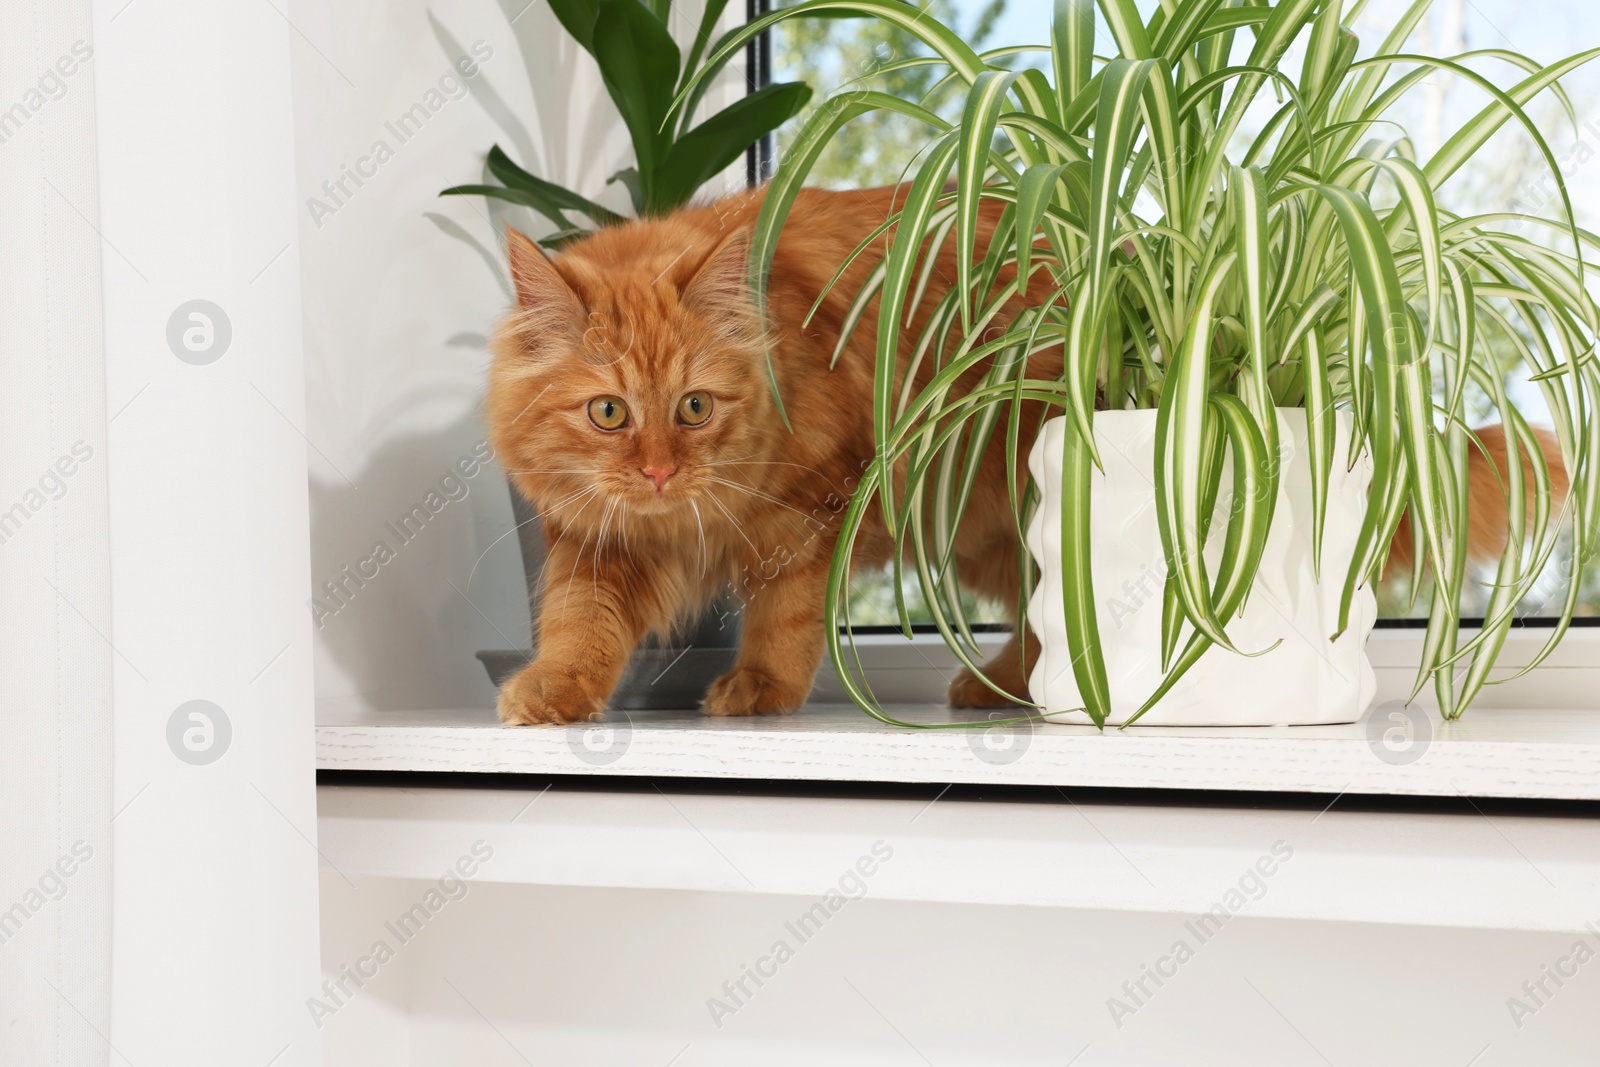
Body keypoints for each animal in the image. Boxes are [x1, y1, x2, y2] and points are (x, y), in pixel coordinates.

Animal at [489, 183, 1561, 726]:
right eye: (610, 413)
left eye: (695, 407)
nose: (660, 471)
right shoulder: (594, 542)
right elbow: (579, 626)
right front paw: (552, 694)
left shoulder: (817, 503)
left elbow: (784, 617)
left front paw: (760, 691)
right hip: (984, 529)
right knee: (1041, 618)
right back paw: (999, 687)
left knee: (1056, 621)